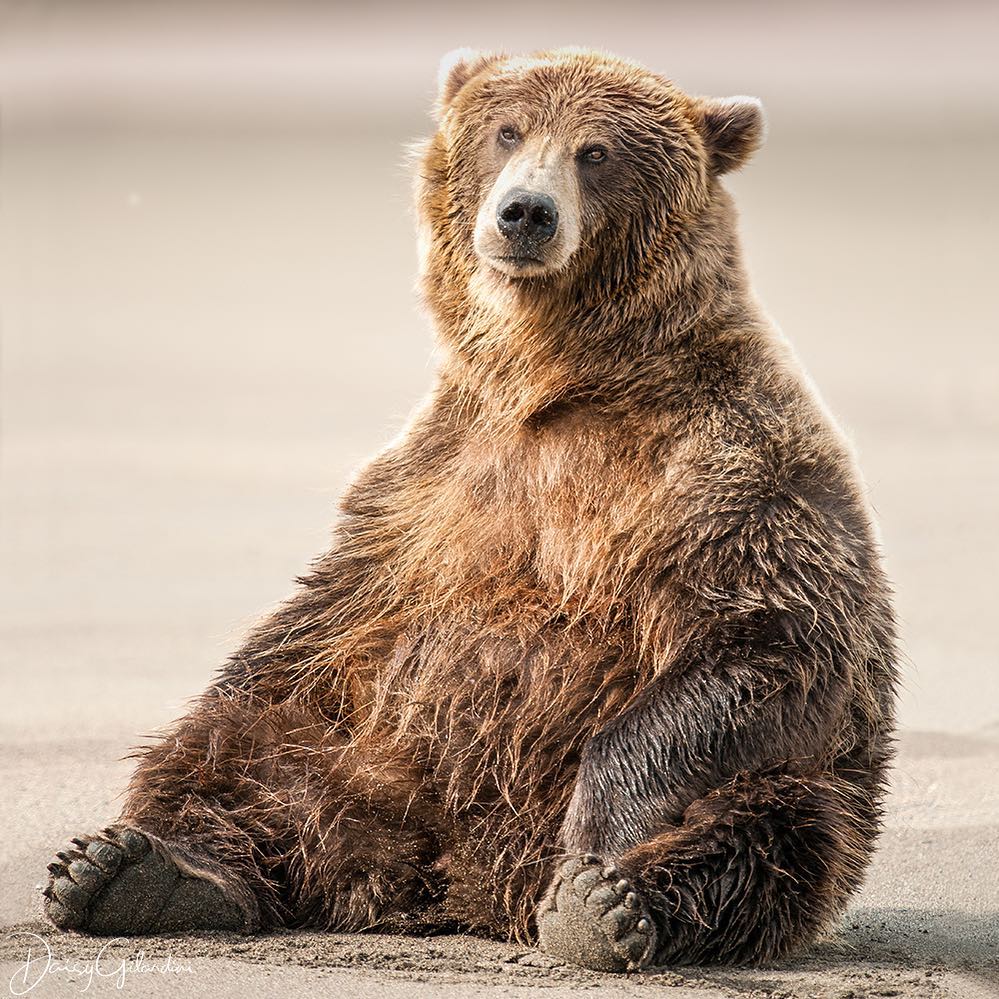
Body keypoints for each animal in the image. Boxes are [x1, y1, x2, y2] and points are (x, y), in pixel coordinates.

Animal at [41, 50, 900, 972]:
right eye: (508, 131)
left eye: (596, 151)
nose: (524, 211)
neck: (556, 381)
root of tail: (454, 879)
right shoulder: (431, 482)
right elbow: (311, 621)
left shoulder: (733, 470)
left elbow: (765, 638)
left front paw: (594, 850)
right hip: (355, 752)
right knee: (232, 742)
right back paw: (137, 870)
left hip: (803, 781)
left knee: (769, 826)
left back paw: (603, 909)